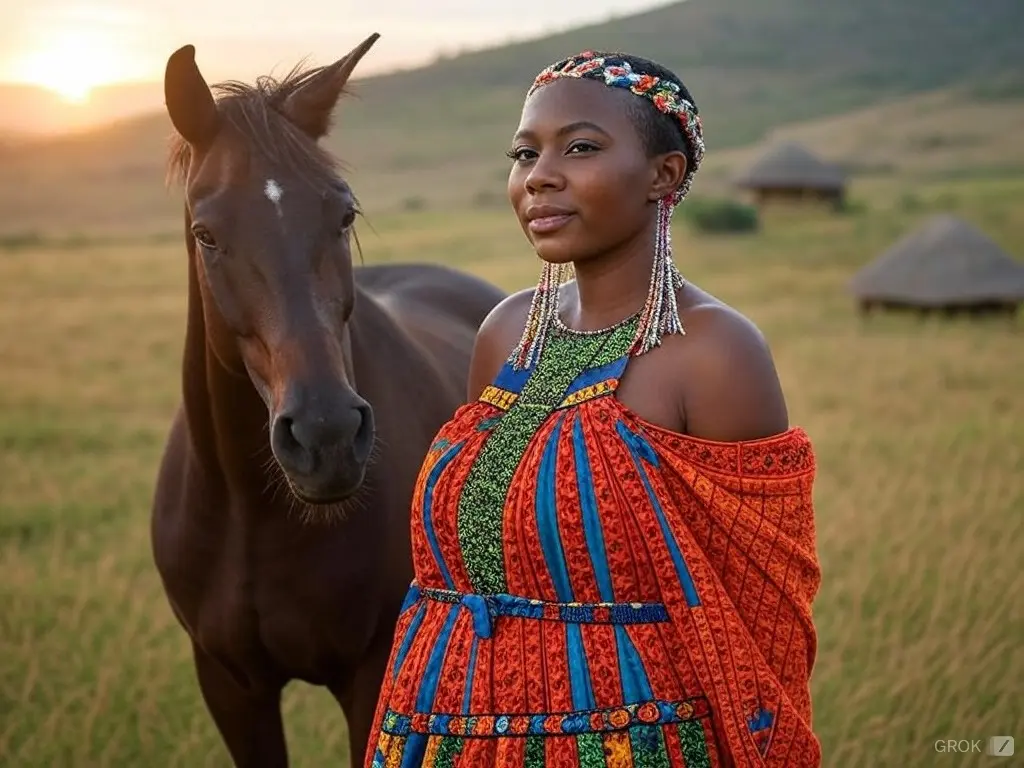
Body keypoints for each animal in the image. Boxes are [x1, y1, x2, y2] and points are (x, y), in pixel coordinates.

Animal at [150, 33, 503, 765]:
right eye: (206, 234)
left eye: (344, 213)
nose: (326, 436)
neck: (254, 513)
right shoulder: (230, 687)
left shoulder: (371, 676)